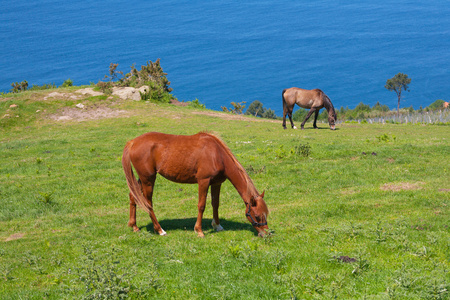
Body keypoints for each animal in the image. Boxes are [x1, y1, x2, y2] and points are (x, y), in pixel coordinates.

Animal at [122, 131, 270, 237]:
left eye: (266, 214)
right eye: (257, 216)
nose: (267, 234)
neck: (217, 154)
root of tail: (133, 142)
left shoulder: (216, 183)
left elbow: (215, 204)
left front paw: (217, 226)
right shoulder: (203, 181)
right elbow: (201, 205)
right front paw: (199, 230)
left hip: (142, 179)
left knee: (133, 196)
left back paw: (134, 226)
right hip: (148, 179)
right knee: (148, 203)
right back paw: (159, 230)